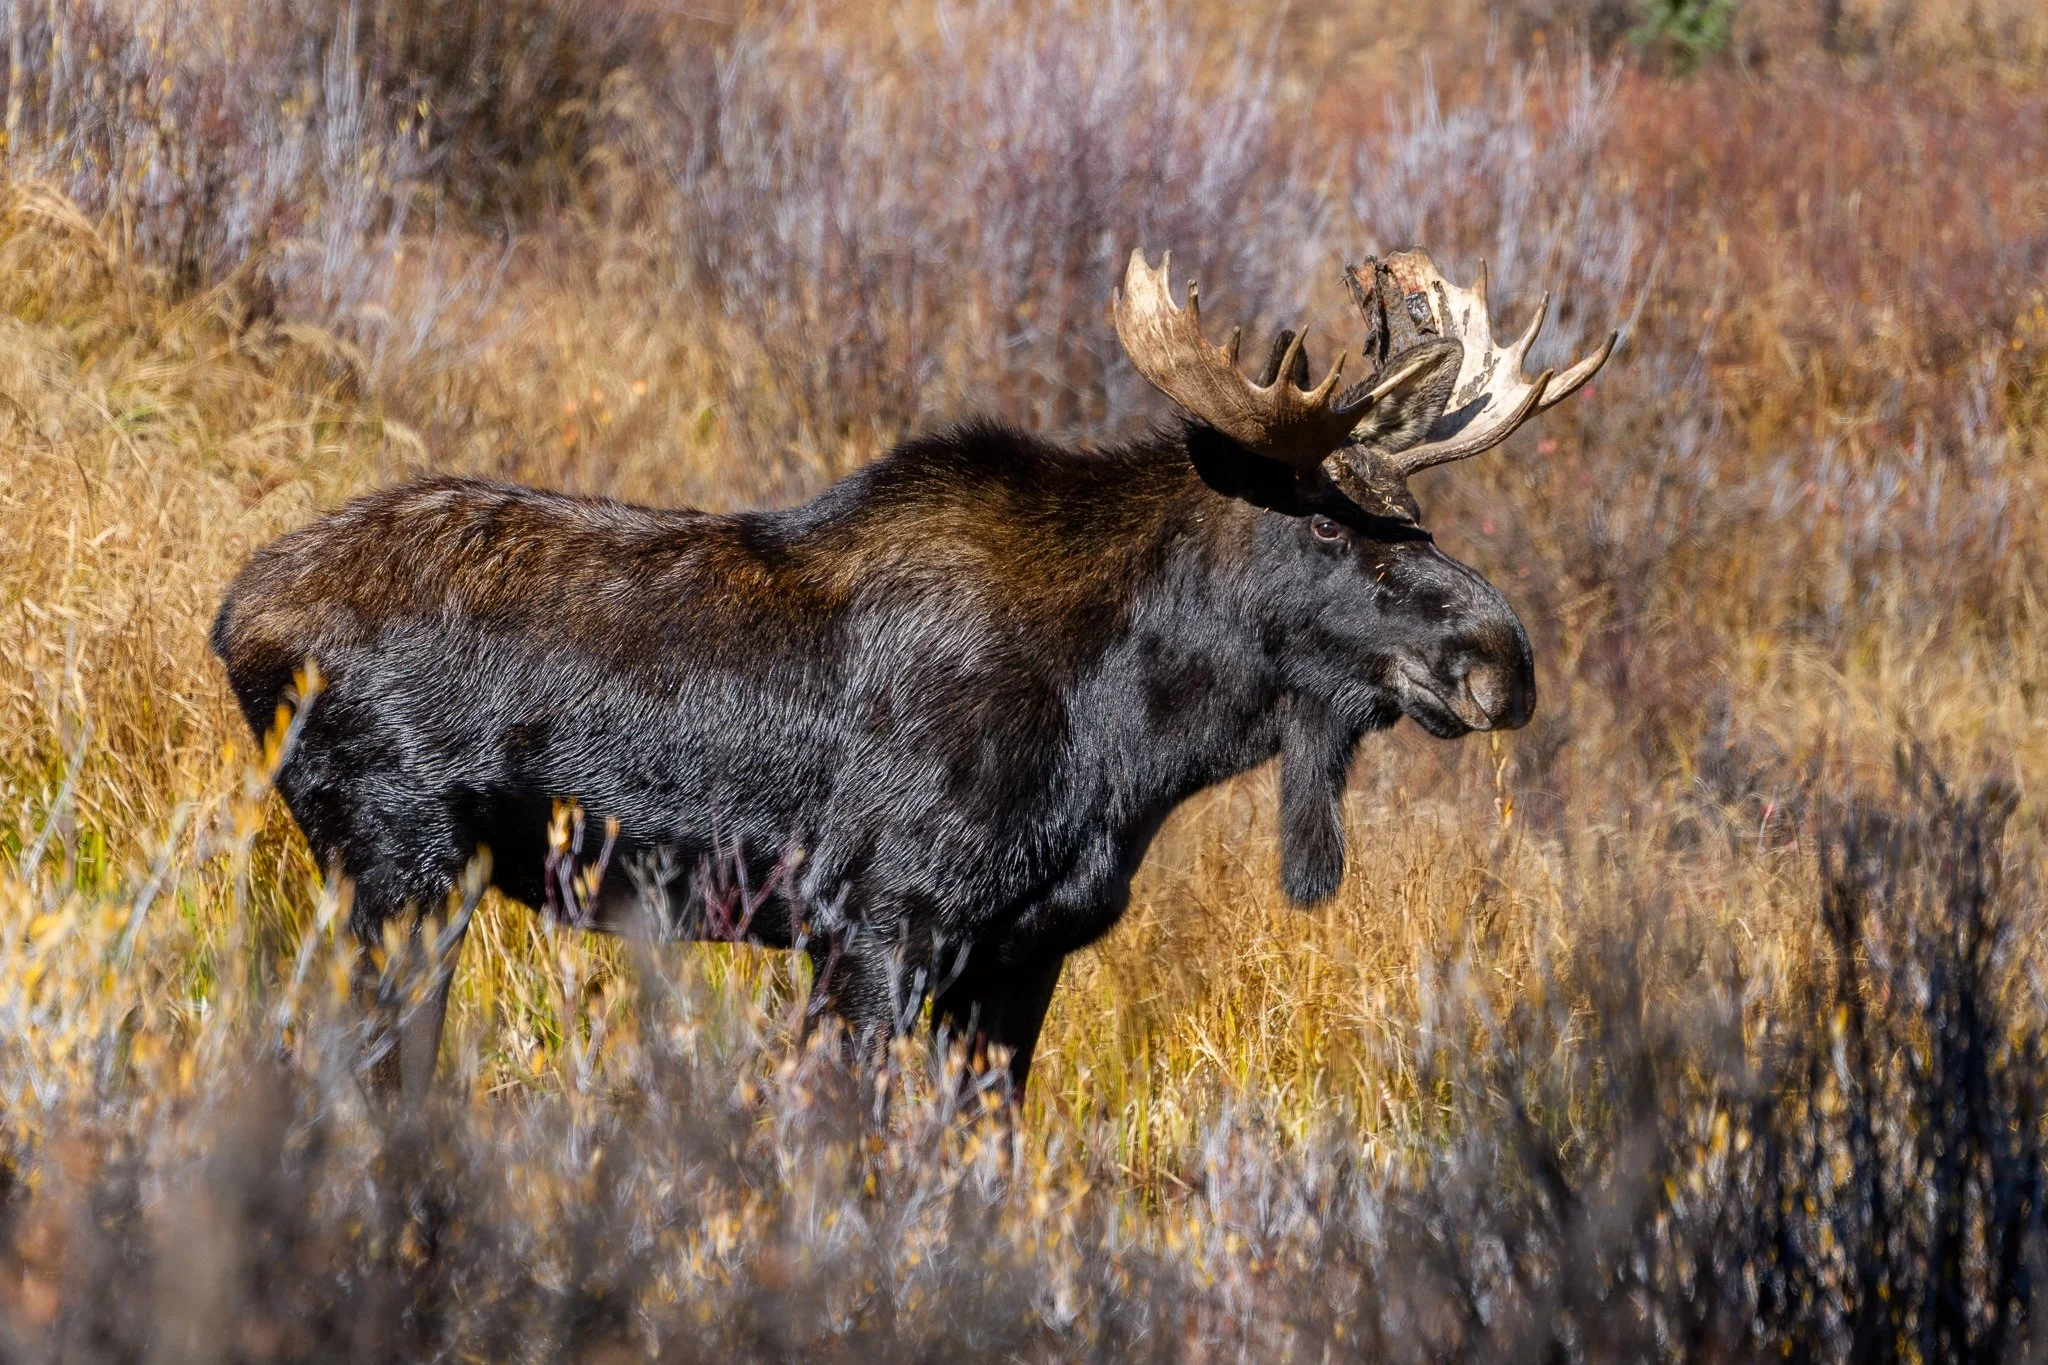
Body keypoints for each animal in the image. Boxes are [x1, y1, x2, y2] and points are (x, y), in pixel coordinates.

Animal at [211, 248, 1613, 1101]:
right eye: (1324, 526)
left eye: (1419, 523)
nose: (1501, 660)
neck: (1134, 737)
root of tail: (236, 621)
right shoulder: (879, 922)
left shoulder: (1024, 955)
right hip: (399, 870)